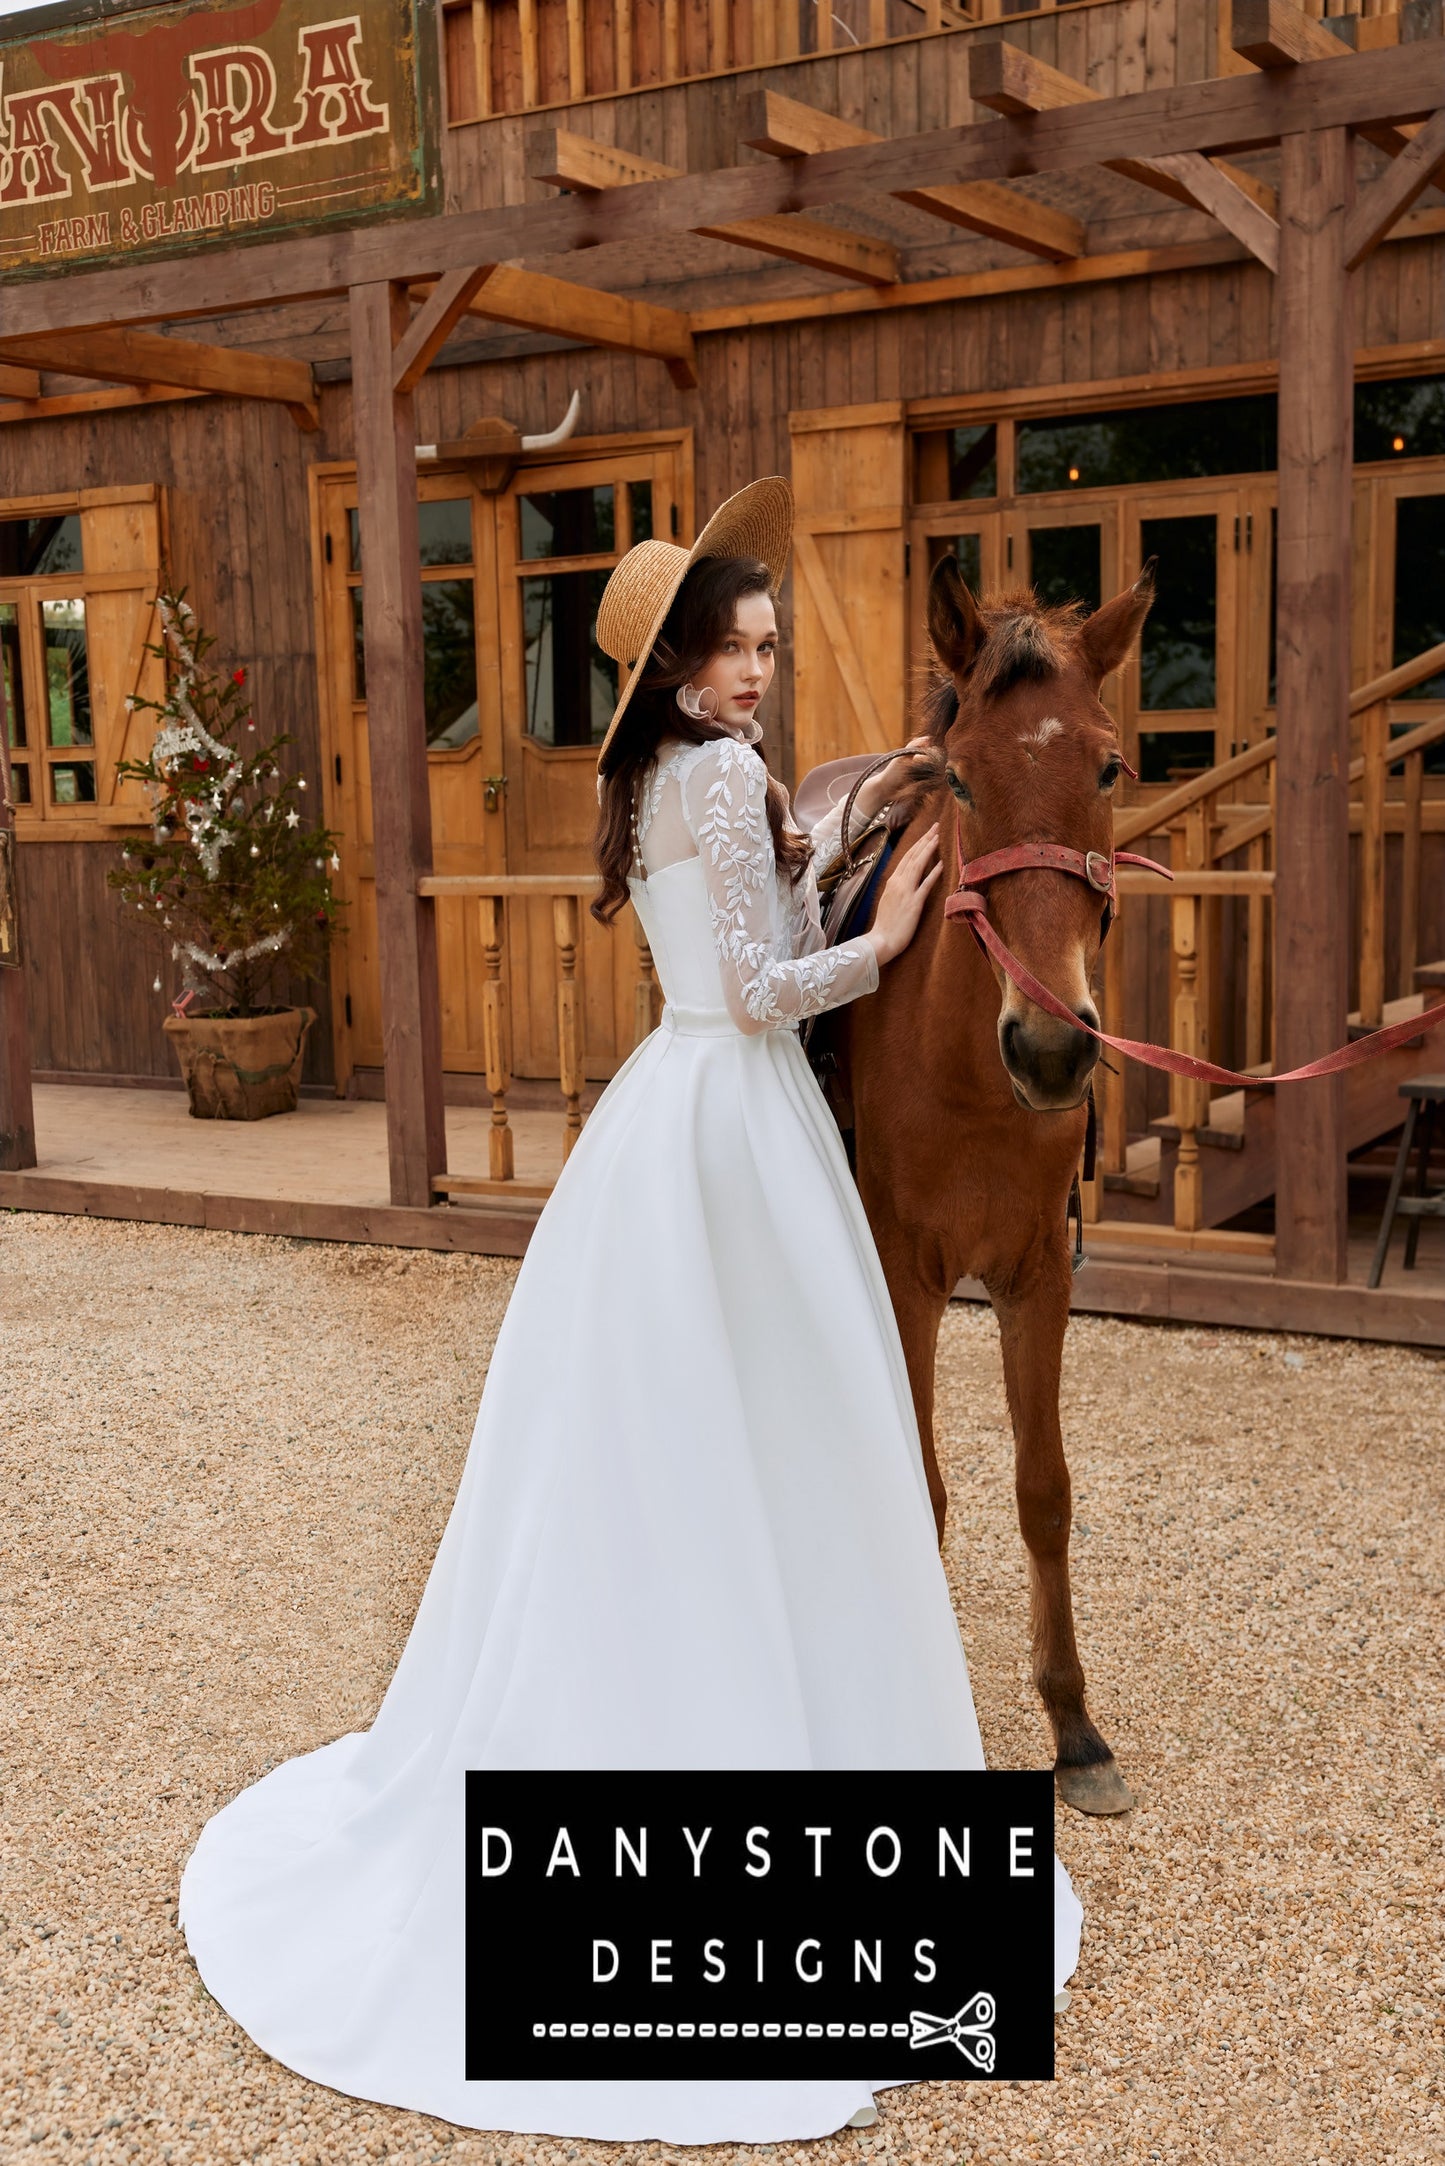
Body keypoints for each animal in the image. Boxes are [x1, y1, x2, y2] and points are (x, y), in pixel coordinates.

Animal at [840, 554, 1161, 1810]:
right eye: (961, 779)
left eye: (1109, 766)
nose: (1052, 1046)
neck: (972, 1081)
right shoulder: (906, 1278)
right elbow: (920, 1485)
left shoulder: (1034, 1276)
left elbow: (1043, 1491)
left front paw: (1074, 1727)